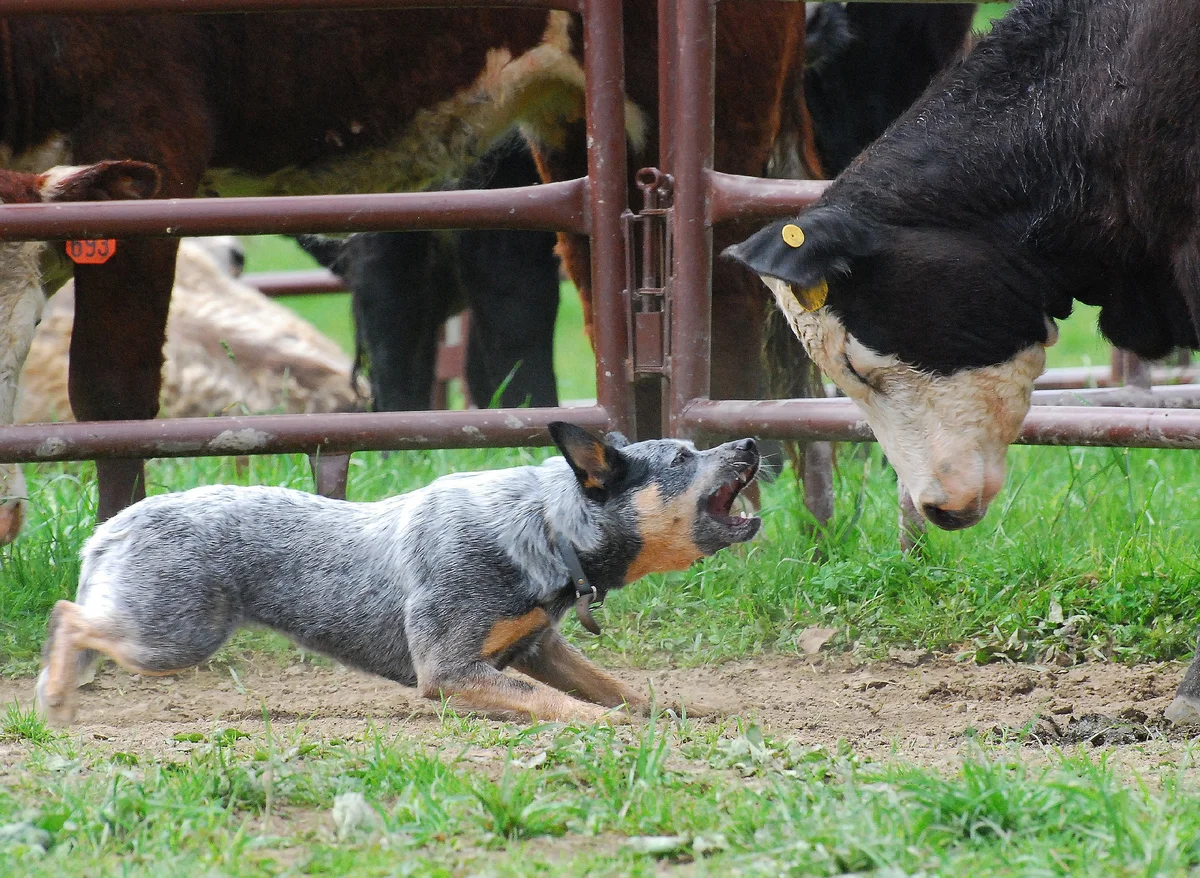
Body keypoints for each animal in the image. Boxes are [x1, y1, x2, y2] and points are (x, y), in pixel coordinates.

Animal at [39, 422, 758, 724]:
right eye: (684, 457)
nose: (752, 442)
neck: (546, 532)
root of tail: (113, 525)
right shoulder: (448, 669)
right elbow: (554, 700)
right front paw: (604, 726)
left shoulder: (539, 646)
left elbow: (614, 685)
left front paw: (670, 709)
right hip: (173, 638)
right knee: (67, 615)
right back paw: (54, 696)